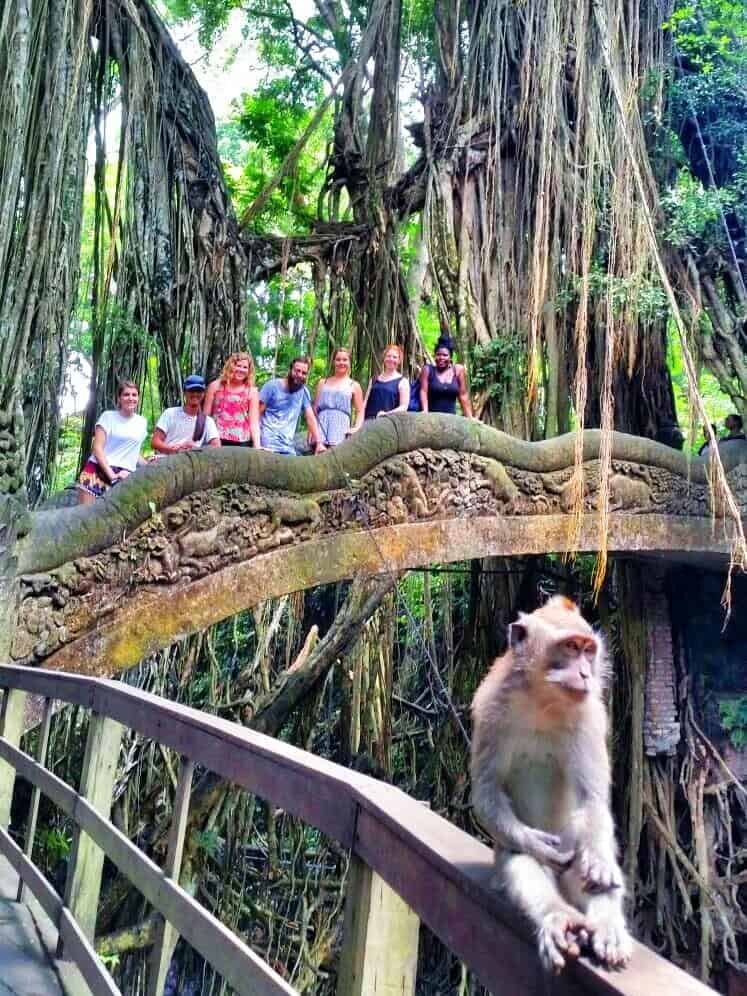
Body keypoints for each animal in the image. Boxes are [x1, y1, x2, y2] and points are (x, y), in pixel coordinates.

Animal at [470, 595, 633, 974]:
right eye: (571, 647)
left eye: (588, 651)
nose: (586, 673)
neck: (543, 700)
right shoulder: (489, 706)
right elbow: (486, 793)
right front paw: (539, 845)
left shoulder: (591, 715)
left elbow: (592, 801)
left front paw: (599, 864)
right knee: (517, 857)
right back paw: (560, 919)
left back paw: (607, 926)